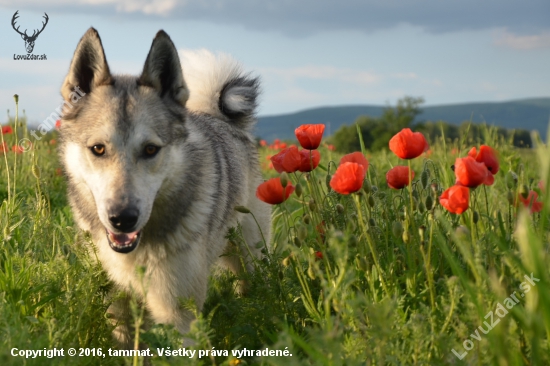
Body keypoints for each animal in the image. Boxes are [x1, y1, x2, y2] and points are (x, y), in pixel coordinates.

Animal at [58, 27, 272, 346]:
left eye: (150, 150)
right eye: (98, 149)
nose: (122, 219)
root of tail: (220, 119)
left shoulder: (179, 316)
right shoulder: (119, 311)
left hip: (250, 260)